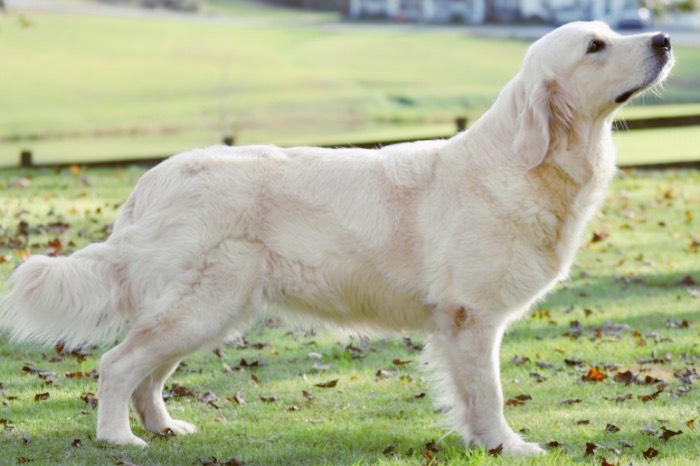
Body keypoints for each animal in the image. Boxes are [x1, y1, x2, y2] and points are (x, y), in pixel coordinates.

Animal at [0, 21, 672, 456]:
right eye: (595, 45)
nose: (665, 40)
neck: (523, 163)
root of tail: (150, 181)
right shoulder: (471, 318)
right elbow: (489, 393)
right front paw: (506, 445)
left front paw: (486, 443)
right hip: (201, 304)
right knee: (118, 366)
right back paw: (117, 437)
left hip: (207, 310)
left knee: (147, 374)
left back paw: (164, 429)